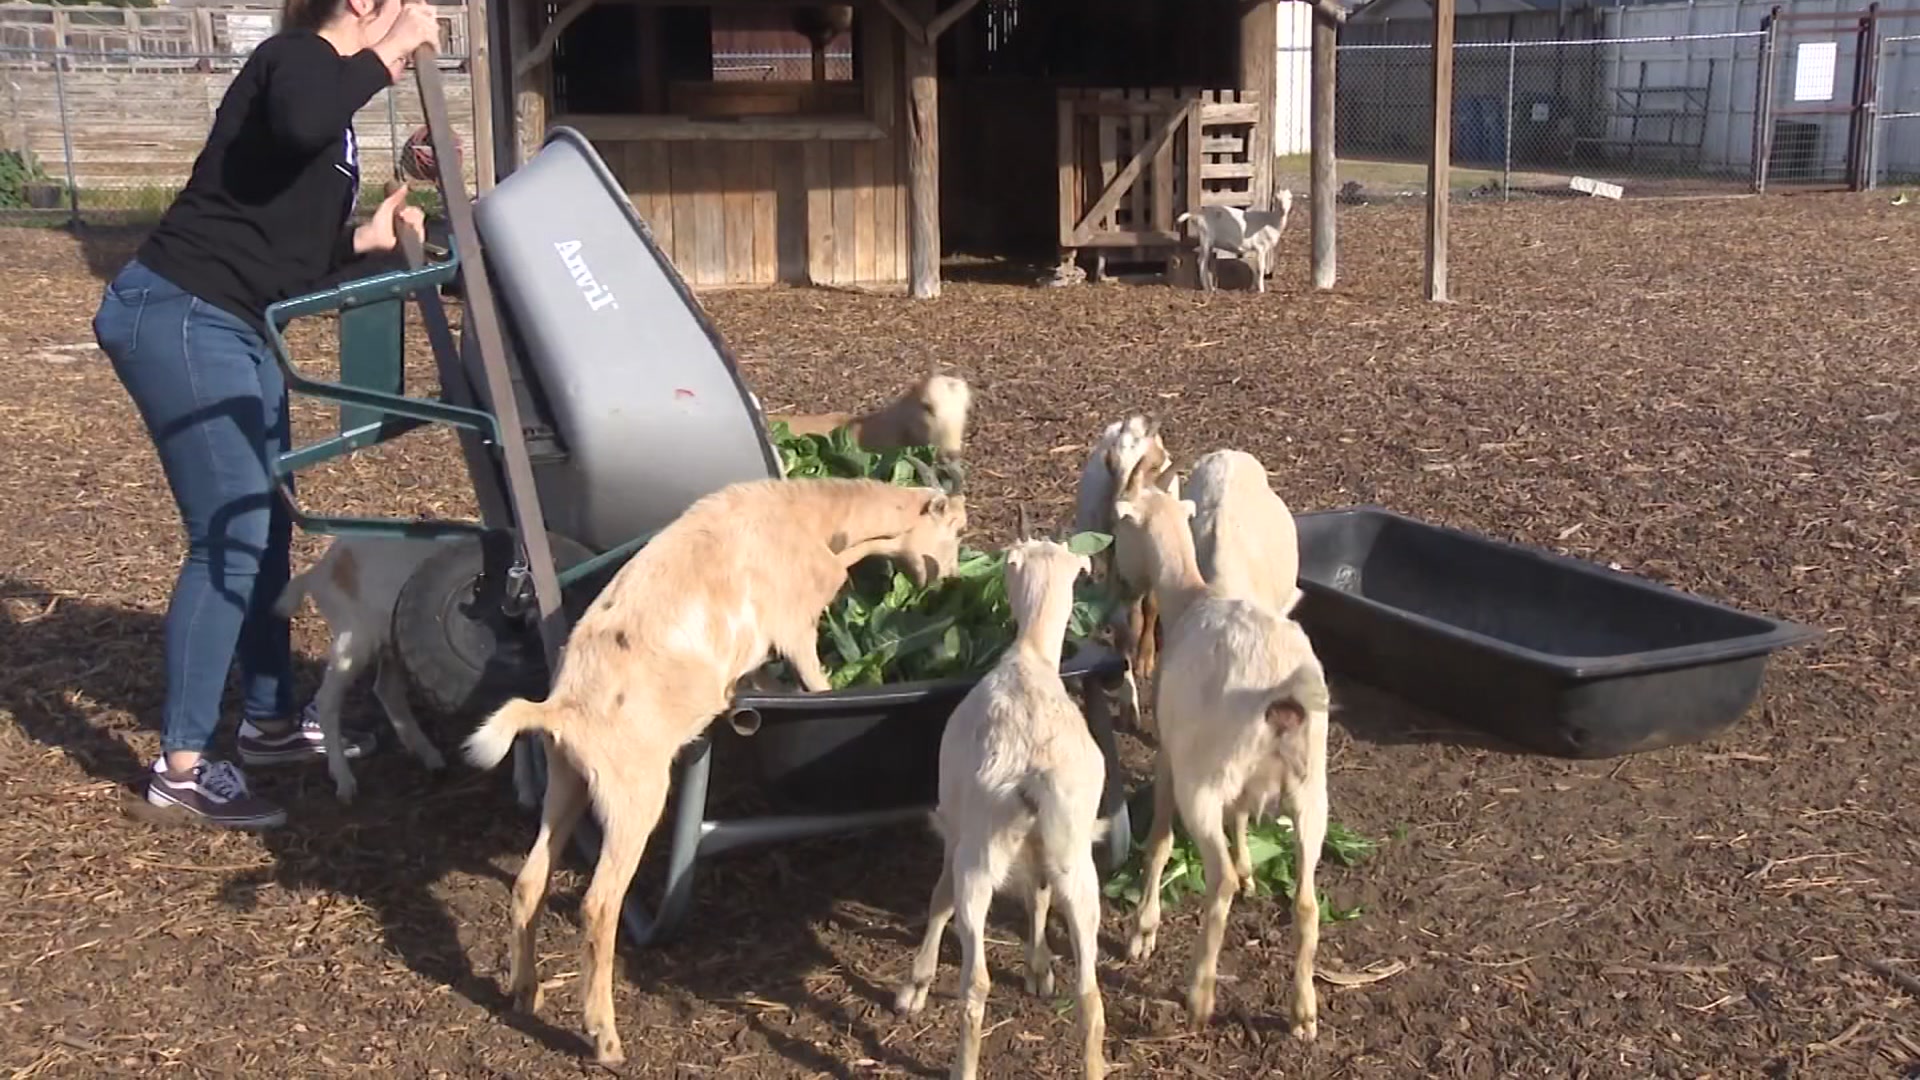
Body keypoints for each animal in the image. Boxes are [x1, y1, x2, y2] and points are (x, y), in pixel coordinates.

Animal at [273, 536, 452, 804]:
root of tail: (320, 571)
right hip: (354, 639)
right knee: (327, 700)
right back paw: (344, 782)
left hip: (390, 643)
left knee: (387, 691)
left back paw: (429, 756)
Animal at [463, 472, 968, 1065]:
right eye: (955, 529)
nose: (949, 580)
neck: (811, 518)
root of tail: (560, 709)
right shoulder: (794, 626)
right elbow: (816, 680)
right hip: (634, 796)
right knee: (599, 906)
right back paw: (605, 1038)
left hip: (568, 781)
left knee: (529, 881)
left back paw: (525, 991)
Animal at [894, 512, 1107, 1080]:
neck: (1029, 655)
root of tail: (1034, 770)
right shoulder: (1040, 850)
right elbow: (1038, 895)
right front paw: (1038, 968)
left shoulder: (956, 826)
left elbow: (938, 899)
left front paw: (914, 985)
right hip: (1077, 858)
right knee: (1090, 991)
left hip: (981, 855)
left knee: (976, 983)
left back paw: (961, 1066)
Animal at [1072, 415, 1176, 734]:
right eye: (1110, 463)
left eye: (1153, 465)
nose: (1119, 510)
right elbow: (1131, 615)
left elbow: (1152, 605)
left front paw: (1146, 658)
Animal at [1111, 467, 1331, 1041]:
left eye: (1119, 529)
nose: (1120, 584)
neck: (1192, 598)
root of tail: (1282, 696)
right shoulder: (1243, 781)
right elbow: (1242, 816)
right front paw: (1252, 866)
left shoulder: (1172, 756)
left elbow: (1160, 842)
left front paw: (1142, 932)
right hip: (1310, 787)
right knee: (1306, 901)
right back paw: (1304, 1012)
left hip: (1203, 782)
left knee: (1219, 880)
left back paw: (1199, 996)